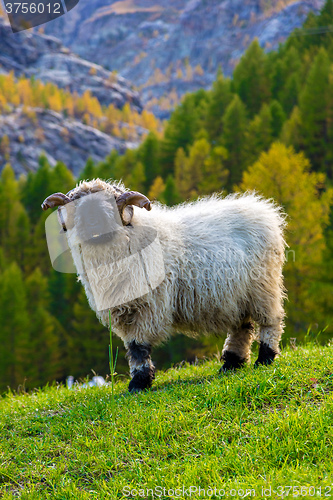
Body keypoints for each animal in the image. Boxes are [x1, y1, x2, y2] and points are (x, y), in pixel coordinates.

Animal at [40, 178, 286, 392]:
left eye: (109, 203)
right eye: (78, 206)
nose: (93, 222)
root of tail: (263, 209)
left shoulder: (148, 306)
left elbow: (138, 346)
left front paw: (139, 383)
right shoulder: (126, 310)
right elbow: (133, 347)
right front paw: (138, 382)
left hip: (263, 286)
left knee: (270, 321)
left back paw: (265, 359)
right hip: (236, 294)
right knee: (241, 327)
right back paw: (231, 365)